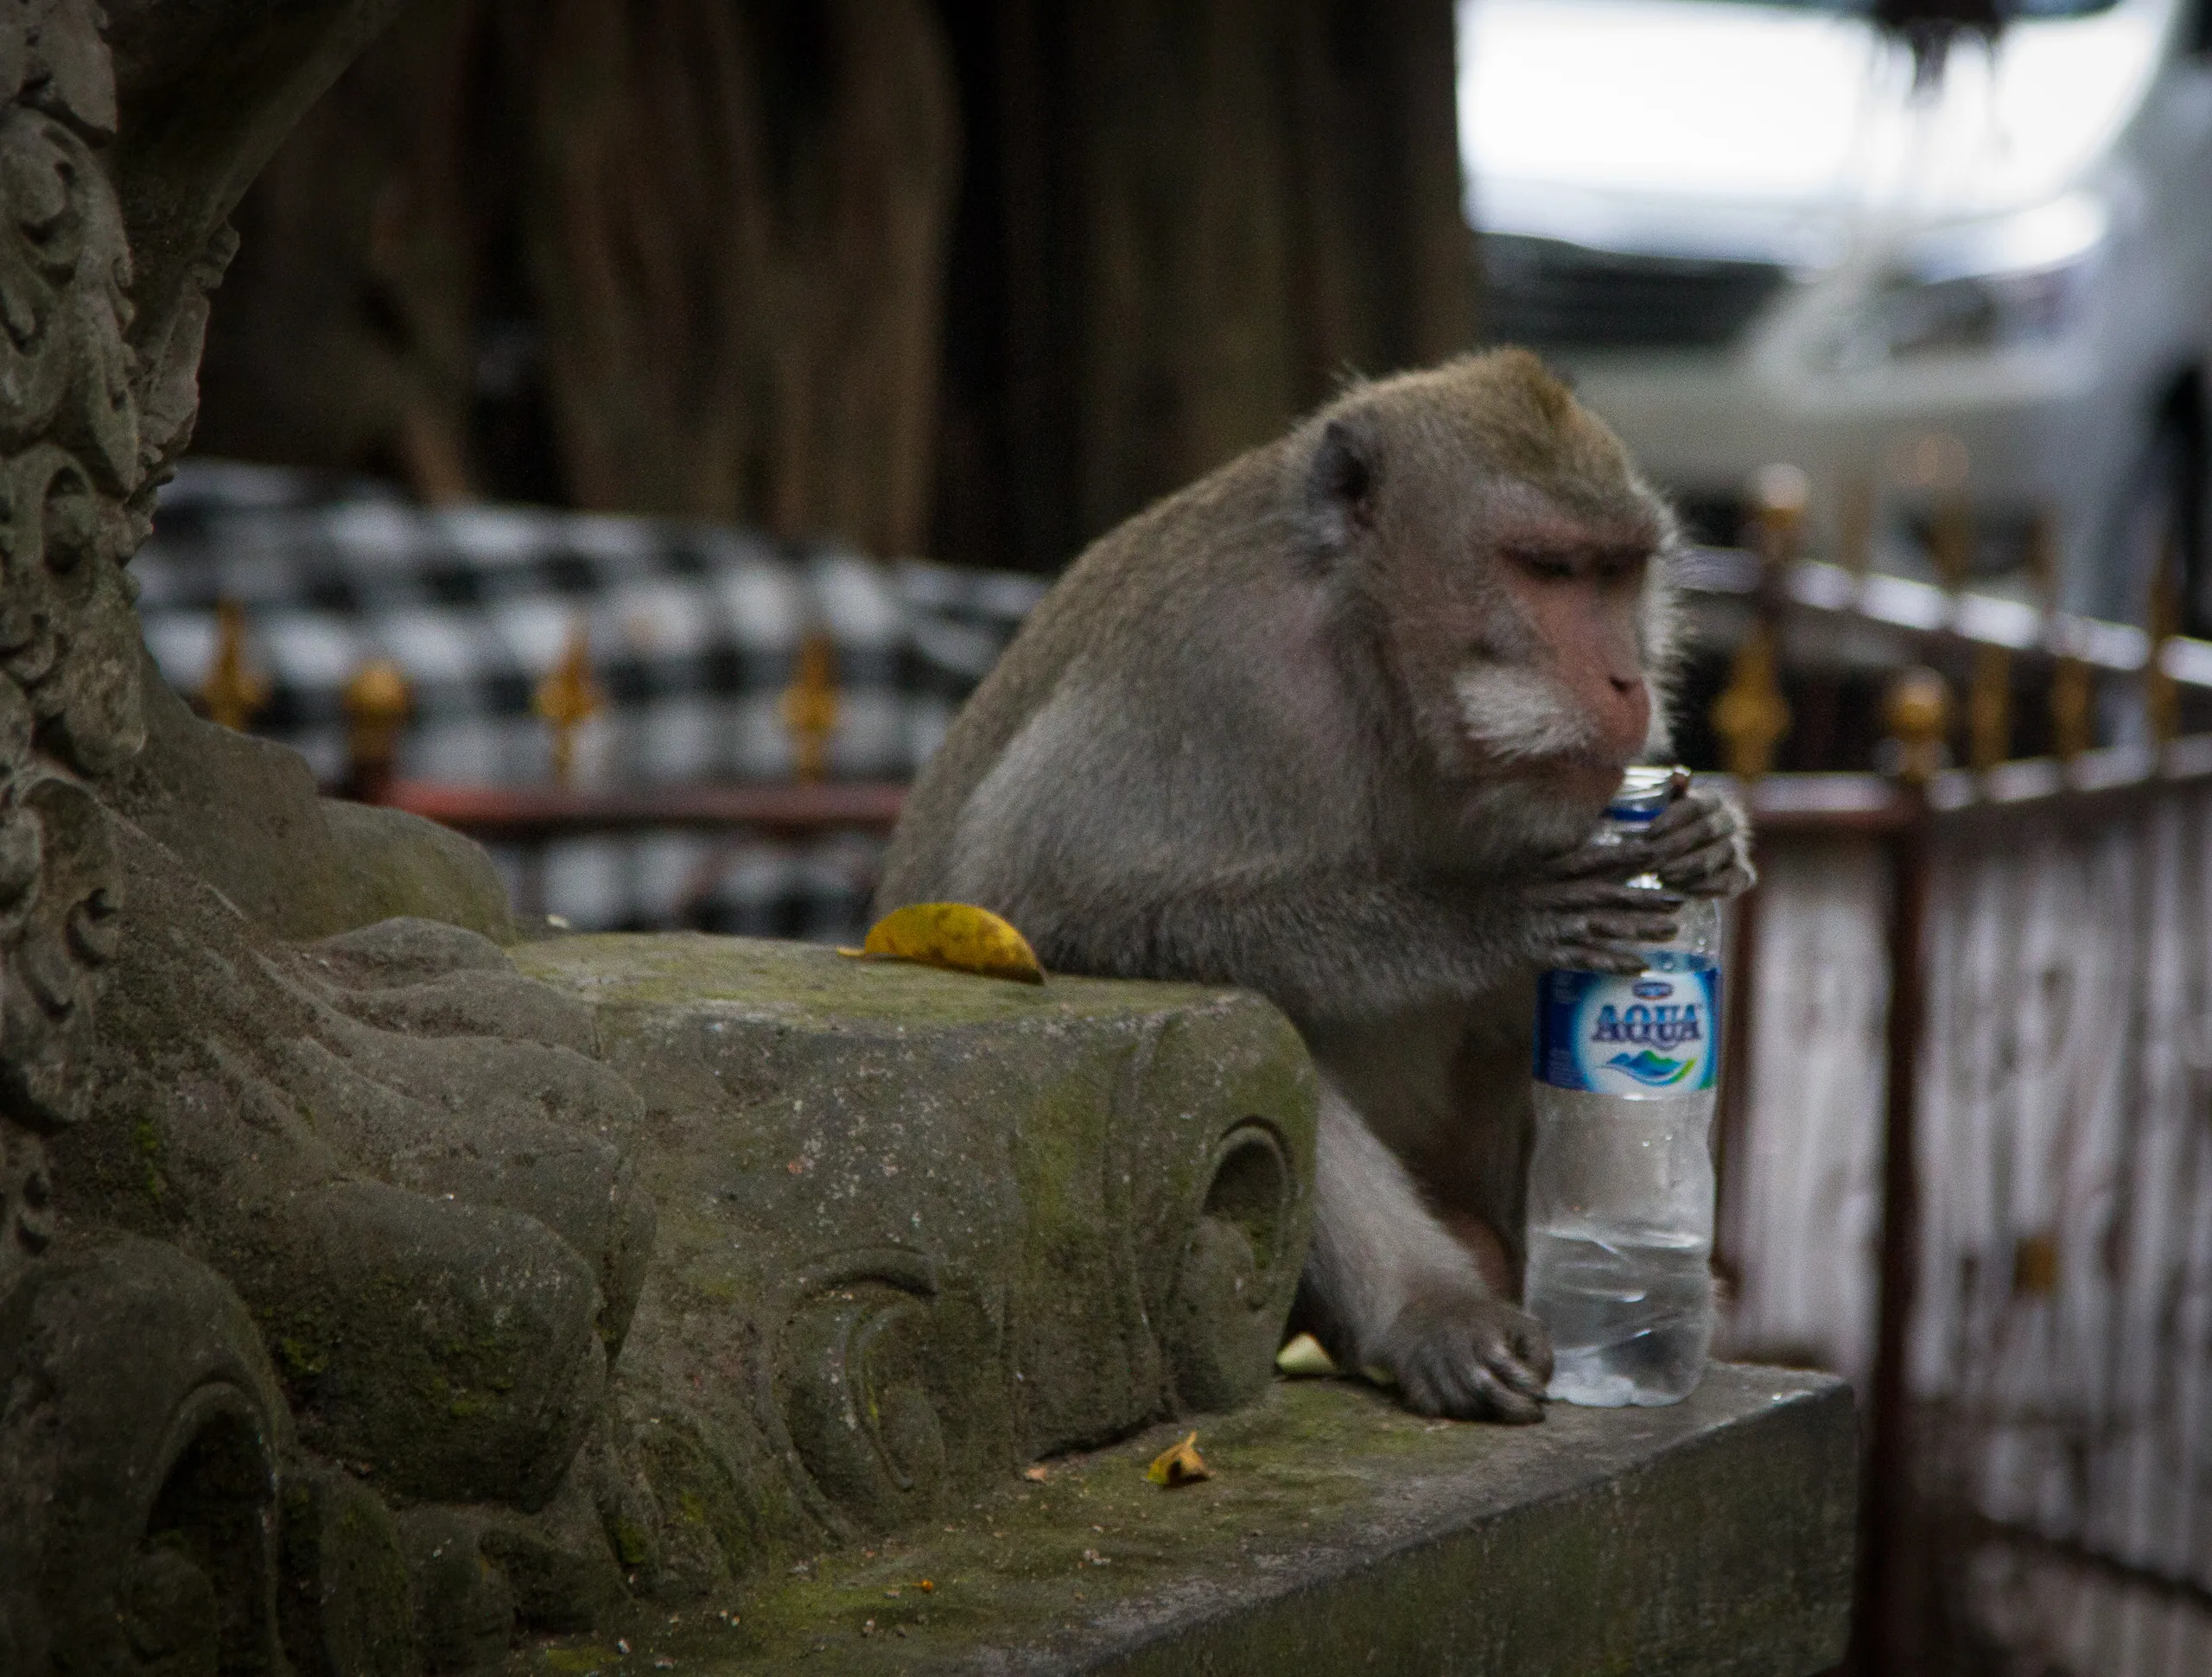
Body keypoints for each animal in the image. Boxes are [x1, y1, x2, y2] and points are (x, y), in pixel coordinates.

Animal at [877, 348, 1753, 1423]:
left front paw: (1703, 837)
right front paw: (1483, 915)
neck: (1369, 662)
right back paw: (1436, 1314)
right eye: (1547, 570)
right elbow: (1042, 908)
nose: (1628, 681)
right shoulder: (1206, 675)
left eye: (1618, 572)